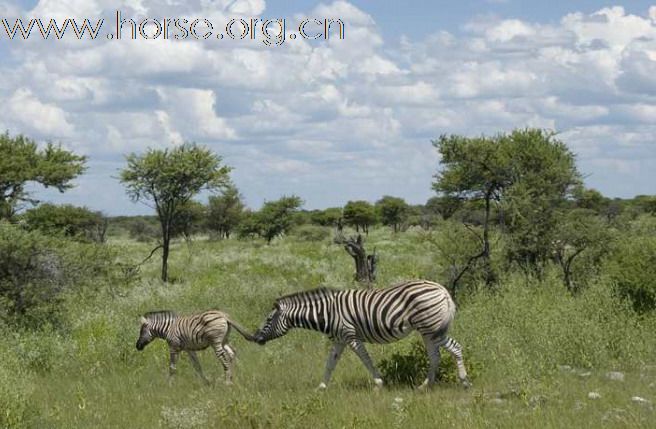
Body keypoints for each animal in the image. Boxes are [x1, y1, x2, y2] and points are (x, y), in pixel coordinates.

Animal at [252, 280, 472, 390]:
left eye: (269, 320)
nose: (256, 339)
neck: (326, 312)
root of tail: (443, 290)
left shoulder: (350, 336)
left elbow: (365, 359)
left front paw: (379, 384)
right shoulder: (339, 339)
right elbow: (330, 363)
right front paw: (321, 388)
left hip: (432, 328)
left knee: (455, 347)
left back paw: (464, 382)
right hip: (427, 330)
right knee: (435, 356)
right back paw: (425, 386)